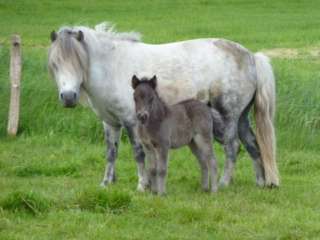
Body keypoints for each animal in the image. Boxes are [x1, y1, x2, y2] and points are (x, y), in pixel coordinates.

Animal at [48, 23, 278, 191]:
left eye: (78, 61)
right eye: (55, 64)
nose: (68, 97)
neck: (112, 67)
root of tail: (251, 57)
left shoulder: (131, 122)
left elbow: (138, 154)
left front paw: (143, 186)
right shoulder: (111, 123)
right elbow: (111, 153)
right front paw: (106, 183)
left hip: (228, 116)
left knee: (232, 147)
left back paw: (223, 183)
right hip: (241, 118)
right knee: (252, 144)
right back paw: (261, 182)